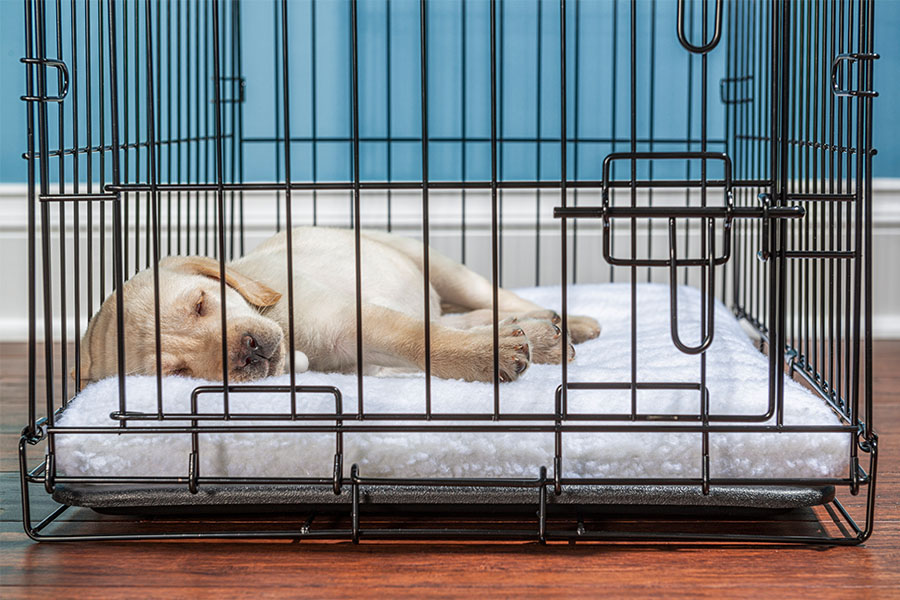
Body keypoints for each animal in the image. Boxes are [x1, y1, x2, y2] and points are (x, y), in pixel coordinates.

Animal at [75, 226, 596, 390]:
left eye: (201, 304)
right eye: (177, 372)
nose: (248, 349)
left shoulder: (357, 320)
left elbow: (422, 339)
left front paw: (486, 355)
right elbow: (427, 337)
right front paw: (500, 345)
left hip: (442, 267)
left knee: (493, 299)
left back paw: (571, 321)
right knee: (460, 317)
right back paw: (538, 330)